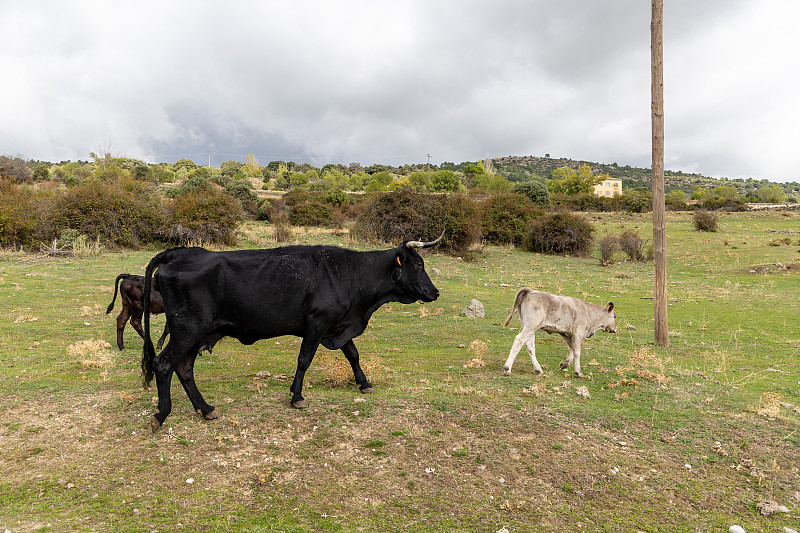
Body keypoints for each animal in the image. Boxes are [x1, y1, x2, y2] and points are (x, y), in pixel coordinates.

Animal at [143, 234, 444, 432]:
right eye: (418, 265)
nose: (435, 292)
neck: (349, 272)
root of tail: (180, 253)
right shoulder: (317, 324)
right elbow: (304, 360)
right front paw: (297, 396)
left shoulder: (338, 326)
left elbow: (353, 354)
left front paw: (364, 383)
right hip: (187, 329)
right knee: (164, 363)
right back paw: (162, 414)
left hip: (196, 333)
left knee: (184, 368)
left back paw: (206, 409)